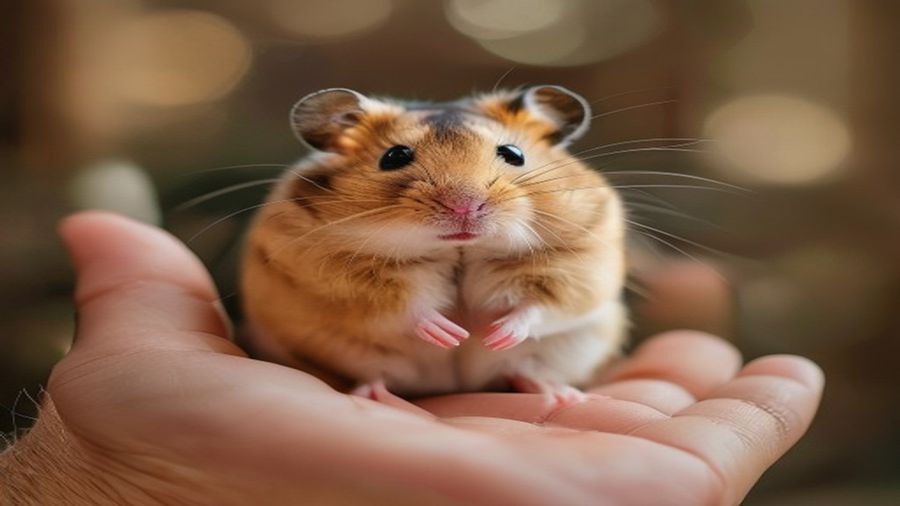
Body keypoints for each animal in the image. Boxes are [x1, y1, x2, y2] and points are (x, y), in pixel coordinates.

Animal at [240, 85, 627, 400]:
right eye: (394, 156)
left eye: (514, 153)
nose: (465, 205)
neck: (460, 249)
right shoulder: (335, 275)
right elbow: (401, 304)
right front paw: (450, 333)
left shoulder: (579, 260)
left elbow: (541, 305)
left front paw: (494, 333)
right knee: (379, 372)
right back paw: (373, 393)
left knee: (520, 371)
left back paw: (558, 394)